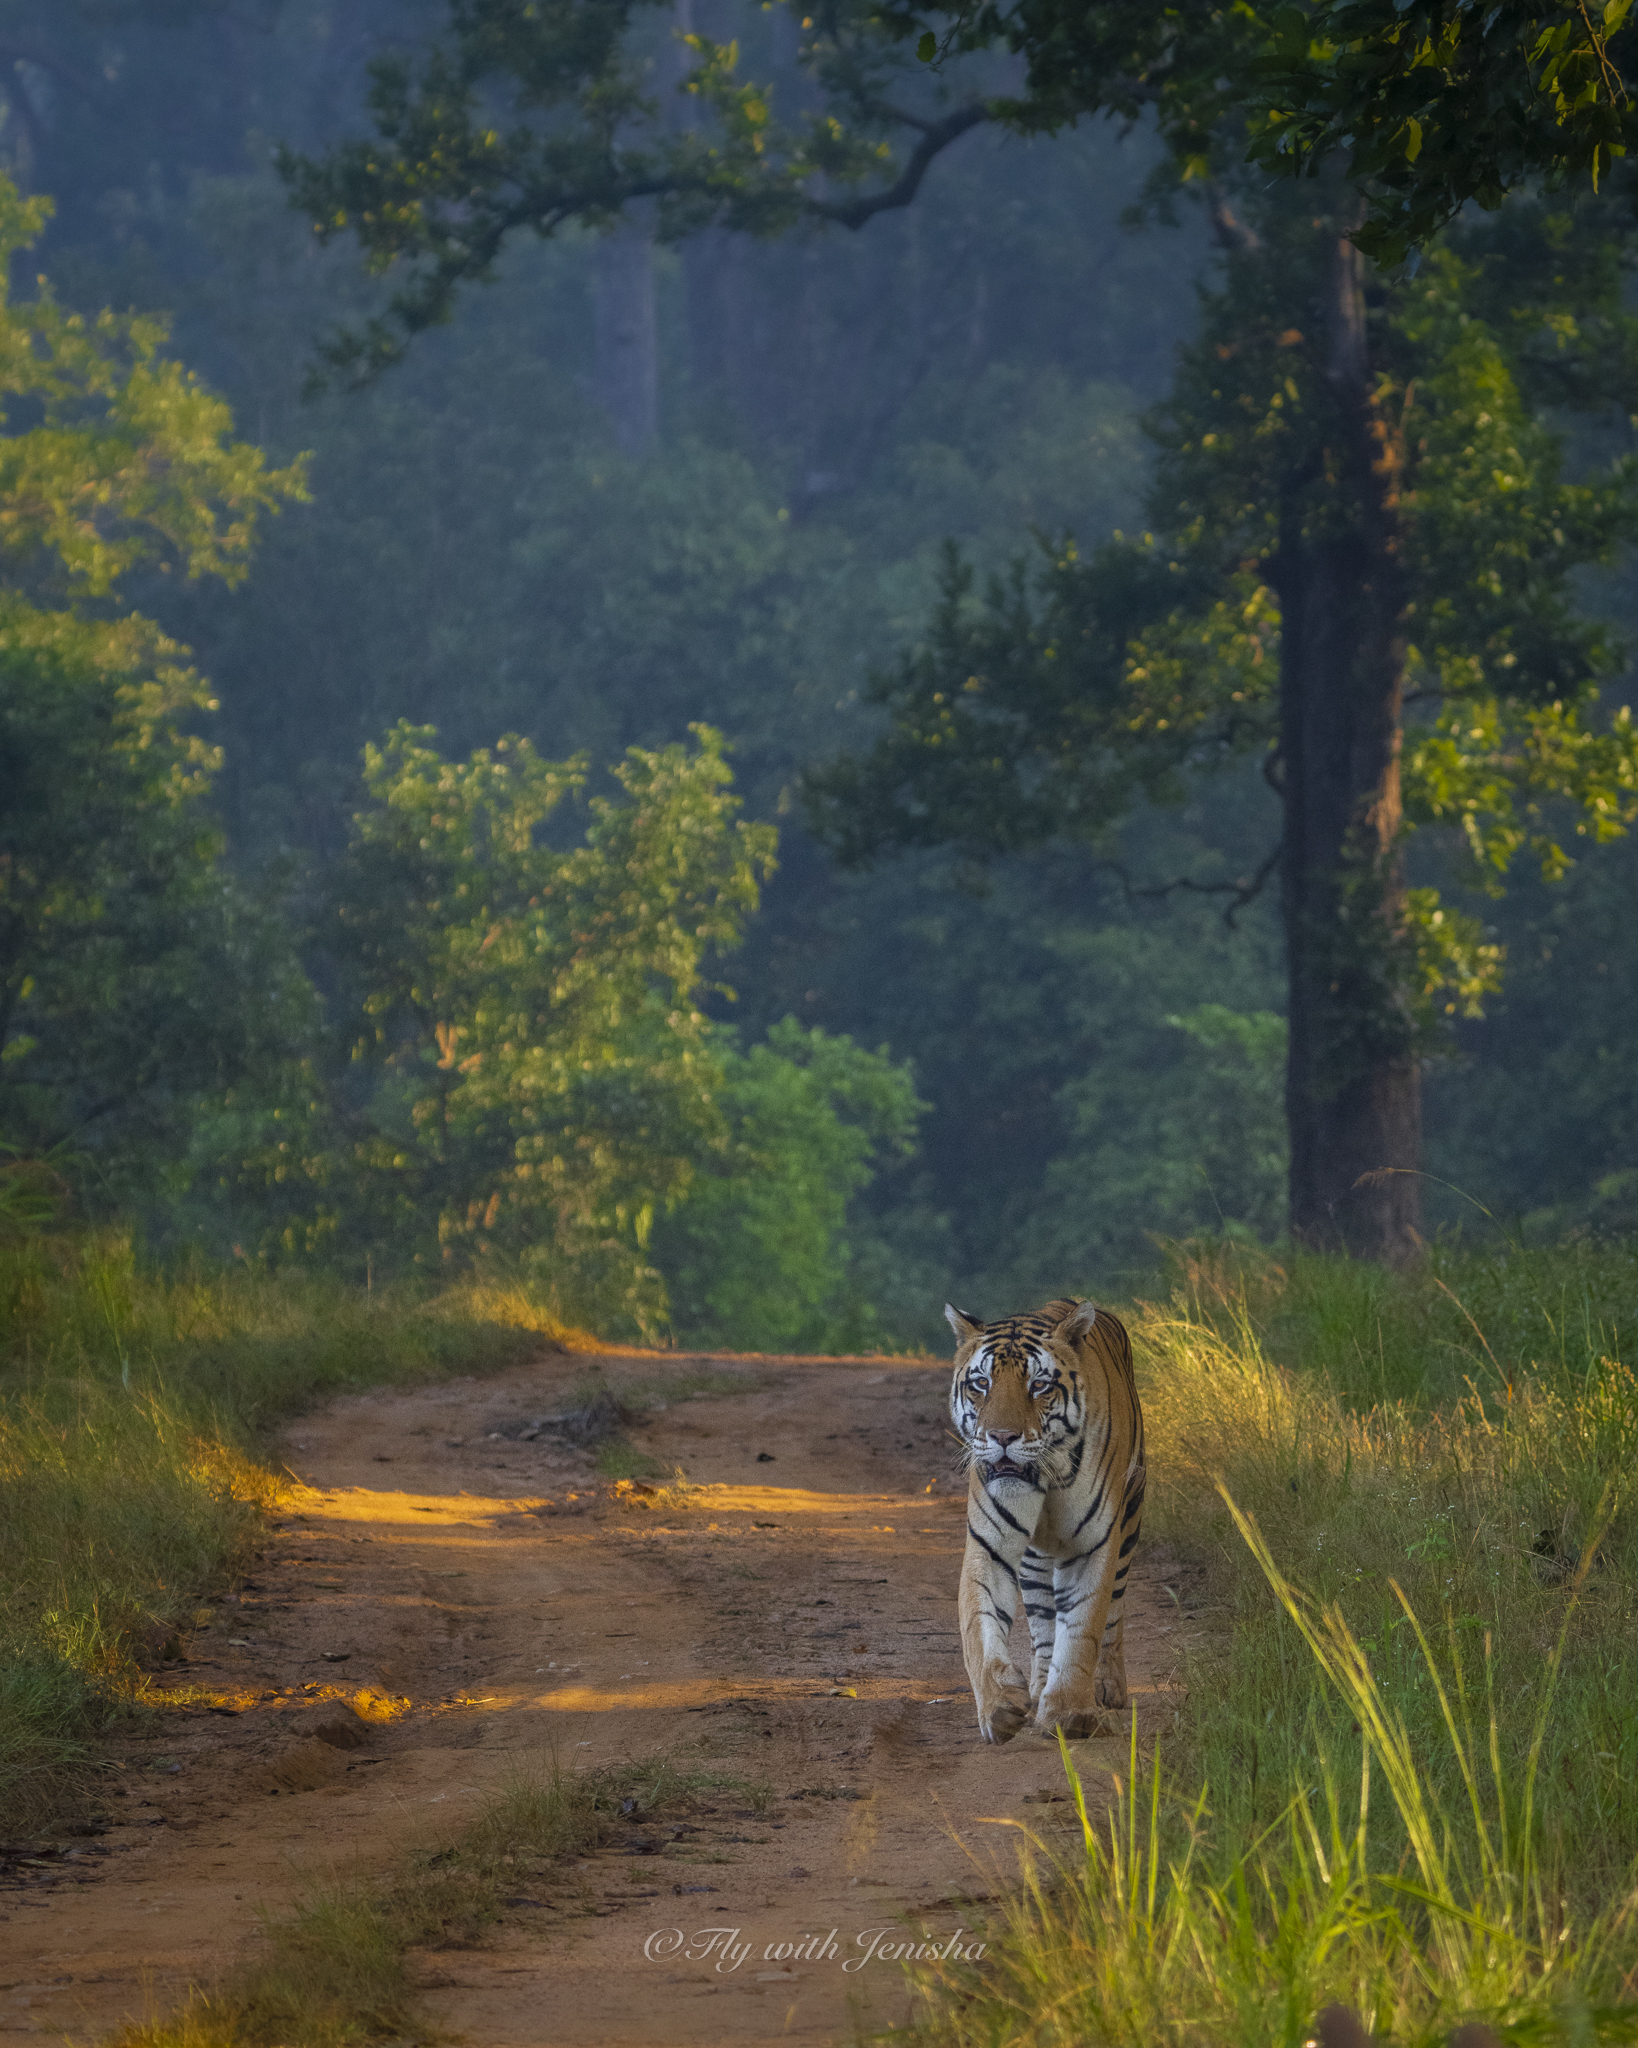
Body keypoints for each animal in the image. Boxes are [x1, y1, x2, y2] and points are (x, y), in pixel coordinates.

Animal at [945, 1295, 1145, 1744]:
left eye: (1038, 1385)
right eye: (980, 1383)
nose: (1002, 1437)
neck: (1045, 1477)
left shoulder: (1092, 1545)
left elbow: (1083, 1628)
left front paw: (1069, 1712)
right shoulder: (989, 1546)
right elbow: (979, 1628)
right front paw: (1000, 1705)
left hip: (1130, 1518)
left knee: (1114, 1615)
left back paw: (1106, 1687)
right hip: (1035, 1559)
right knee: (1042, 1620)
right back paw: (1038, 1687)